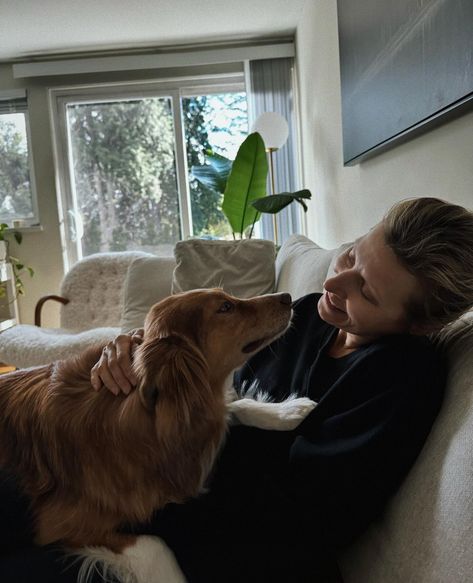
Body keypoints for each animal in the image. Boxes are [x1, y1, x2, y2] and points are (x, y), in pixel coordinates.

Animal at [0, 290, 294, 580]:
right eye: (225, 307)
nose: (288, 297)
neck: (146, 411)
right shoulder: (60, 524)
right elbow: (154, 546)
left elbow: (234, 408)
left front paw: (288, 412)